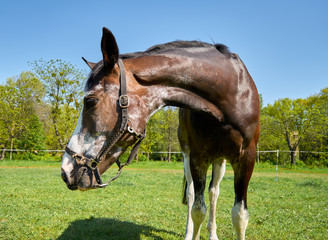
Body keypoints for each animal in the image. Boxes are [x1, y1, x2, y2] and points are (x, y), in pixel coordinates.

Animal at [60, 27, 258, 239]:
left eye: (90, 101)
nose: (65, 170)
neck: (229, 93)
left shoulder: (247, 158)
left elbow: (239, 216)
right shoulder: (198, 158)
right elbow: (197, 209)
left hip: (220, 160)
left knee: (214, 192)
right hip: (189, 156)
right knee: (192, 194)